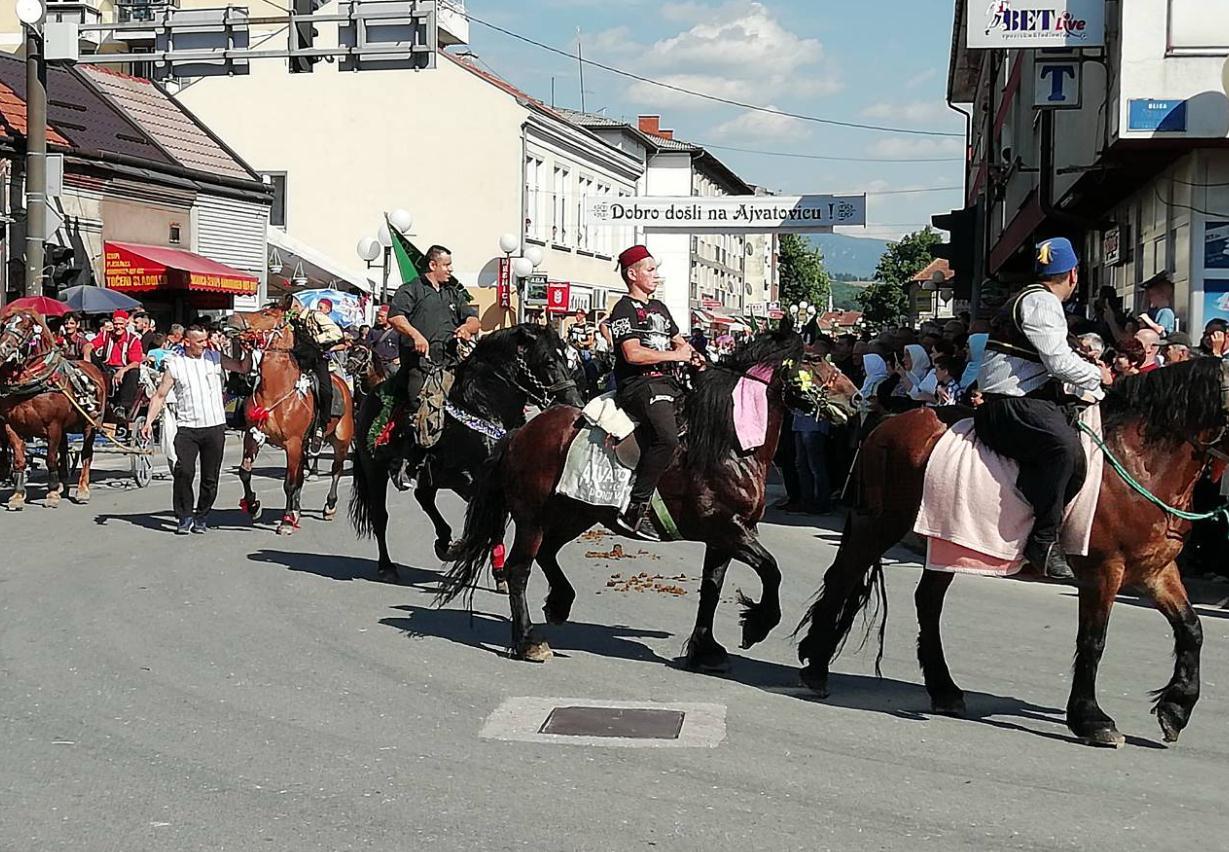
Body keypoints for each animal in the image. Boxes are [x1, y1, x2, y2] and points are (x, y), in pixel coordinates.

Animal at [0, 308, 105, 508]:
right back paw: (63, 485)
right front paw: (17, 495)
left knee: (86, 453)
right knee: (64, 452)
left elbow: (50, 459)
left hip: (91, 422)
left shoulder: (53, 425)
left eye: (25, 326)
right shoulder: (11, 427)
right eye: (5, 324)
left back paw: (82, 489)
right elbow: (19, 461)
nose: (3, 348)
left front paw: (52, 494)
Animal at [228, 302, 353, 536]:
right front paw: (253, 506)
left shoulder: (292, 444)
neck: (277, 391)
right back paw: (296, 510)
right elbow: (244, 472)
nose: (229, 319)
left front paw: (286, 522)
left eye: (266, 313)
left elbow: (290, 483)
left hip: (341, 440)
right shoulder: (252, 436)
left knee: (336, 471)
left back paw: (329, 506)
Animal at [351, 322, 580, 582]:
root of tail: (369, 398)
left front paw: (498, 572)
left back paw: (444, 543)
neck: (483, 405)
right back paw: (387, 566)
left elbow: (495, 524)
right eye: (549, 361)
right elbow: (490, 522)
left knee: (424, 497)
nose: (575, 402)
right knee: (380, 516)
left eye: (567, 359)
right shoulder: (469, 481)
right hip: (375, 470)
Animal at [437, 329, 860, 668]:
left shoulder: (725, 536)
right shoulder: (729, 529)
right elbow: (771, 570)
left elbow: (712, 588)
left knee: (547, 554)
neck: (729, 443)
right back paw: (527, 641)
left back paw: (559, 603)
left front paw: (705, 650)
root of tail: (520, 433)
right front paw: (757, 625)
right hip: (533, 518)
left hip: (575, 513)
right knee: (519, 570)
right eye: (814, 359)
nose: (856, 400)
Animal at [791, 356, 1229, 742]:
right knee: (843, 578)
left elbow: (1191, 628)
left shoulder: (1155, 570)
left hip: (945, 540)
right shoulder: (1104, 571)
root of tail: (887, 423)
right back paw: (816, 668)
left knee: (926, 601)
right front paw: (1092, 720)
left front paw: (1176, 708)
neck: (1138, 461)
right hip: (879, 525)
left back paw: (943, 689)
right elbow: (1093, 641)